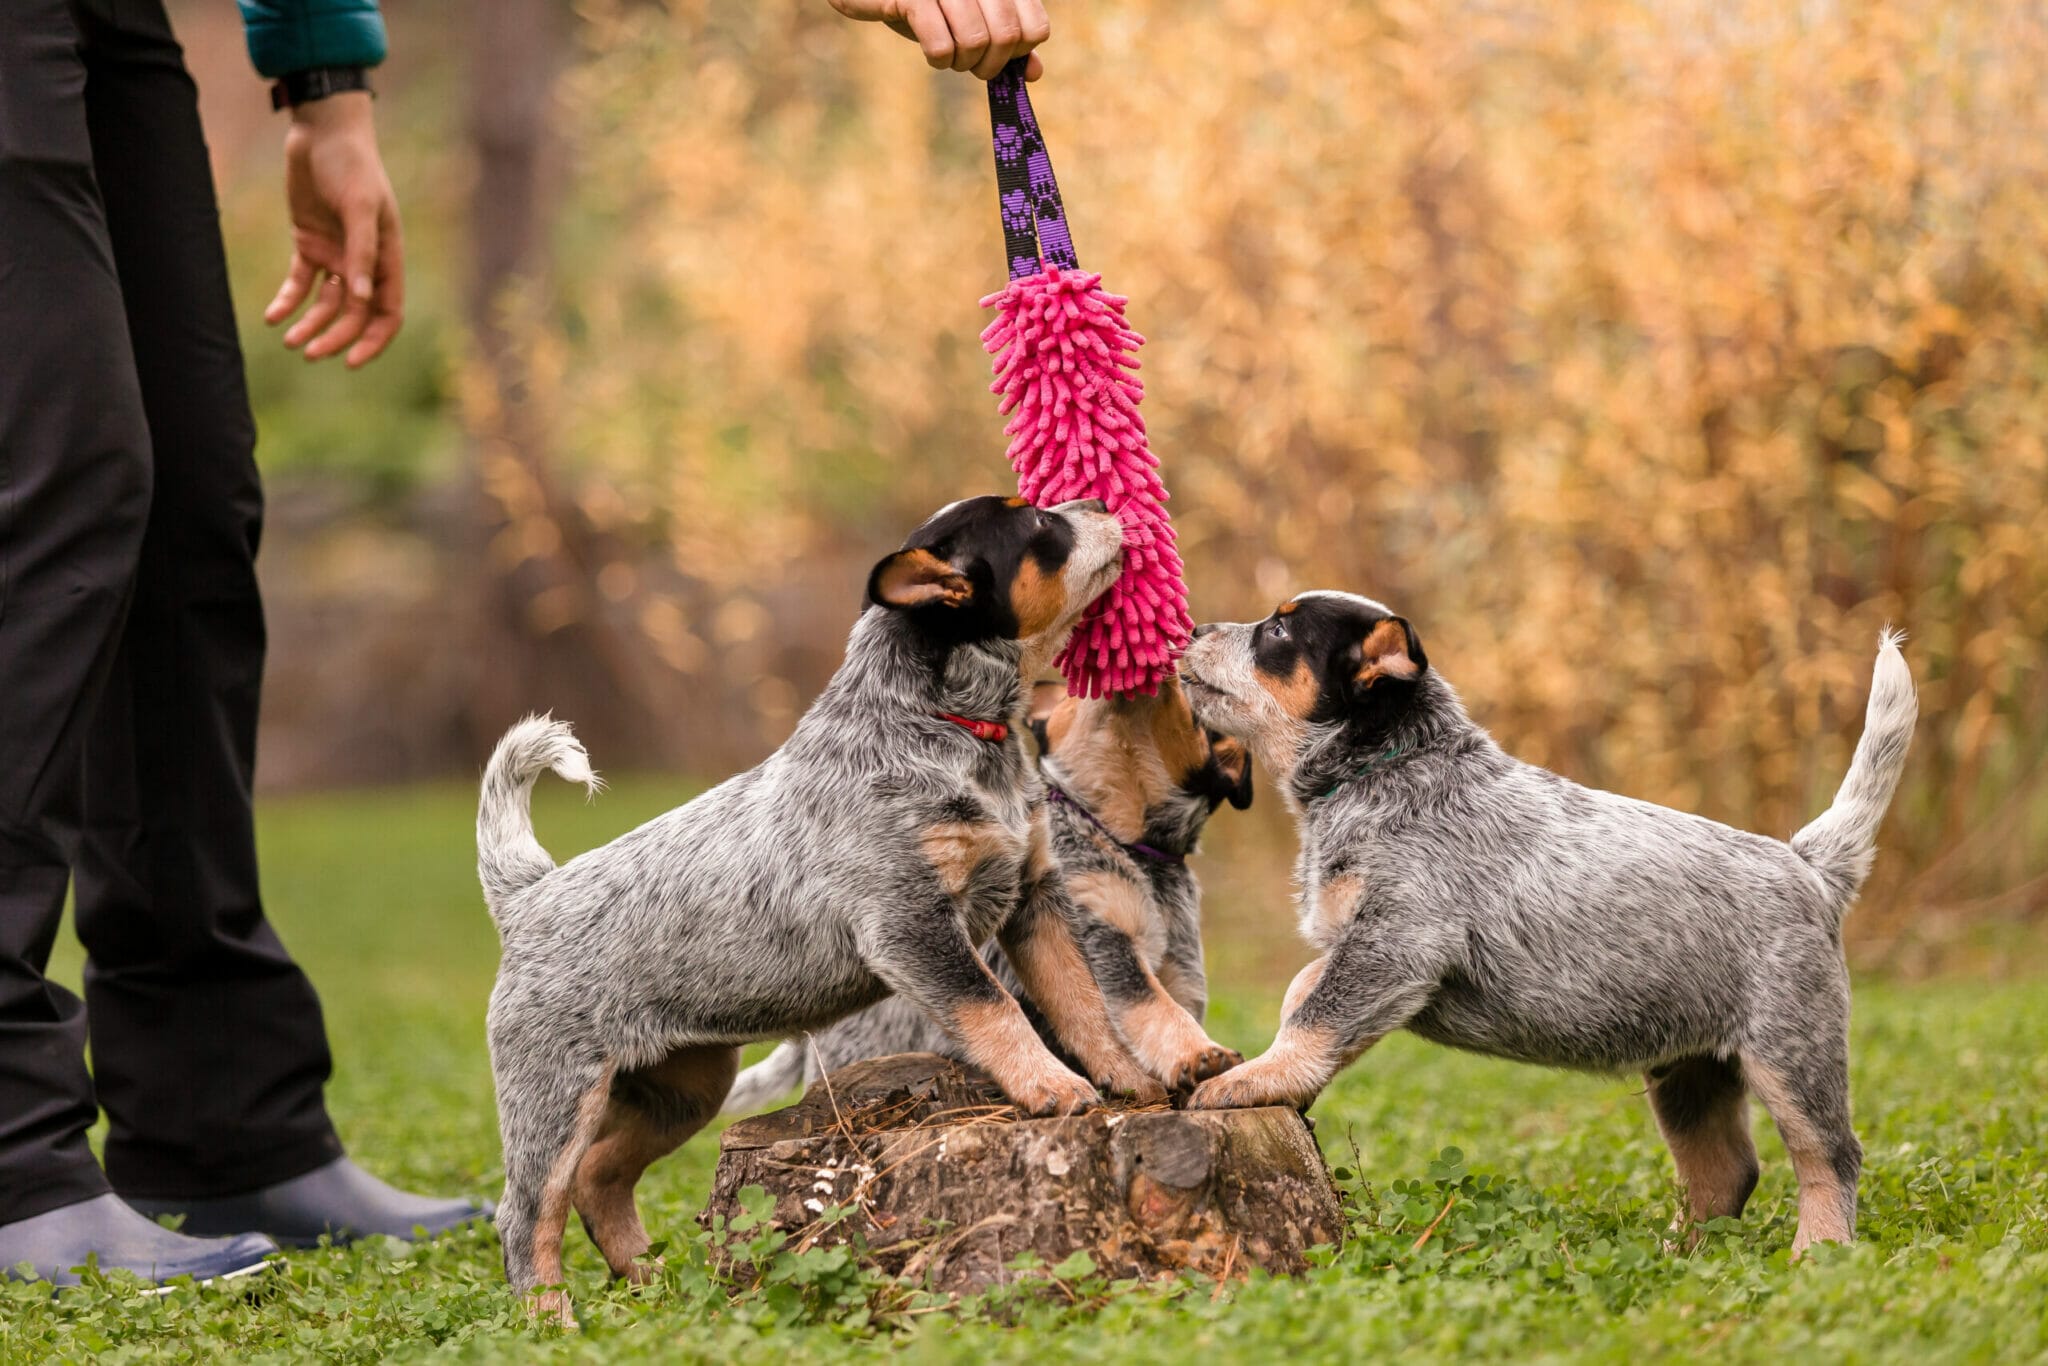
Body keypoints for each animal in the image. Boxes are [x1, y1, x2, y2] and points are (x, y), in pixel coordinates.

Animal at [729, 671, 1253, 1114]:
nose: (1176, 651)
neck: (1130, 844)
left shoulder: (1180, 972)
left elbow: (1165, 1011)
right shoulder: (1102, 936)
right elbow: (1150, 1005)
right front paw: (1200, 1054)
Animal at [1179, 593, 1908, 1253]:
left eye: (1277, 631)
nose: (1193, 628)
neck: (1389, 769)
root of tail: (1809, 864)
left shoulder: (1399, 939)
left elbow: (1316, 1017)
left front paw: (1253, 1078)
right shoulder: (1360, 944)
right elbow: (1303, 989)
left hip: (1792, 1054)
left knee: (1832, 1155)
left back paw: (1819, 1249)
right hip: (1689, 1072)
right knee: (1728, 1171)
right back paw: (1677, 1252)